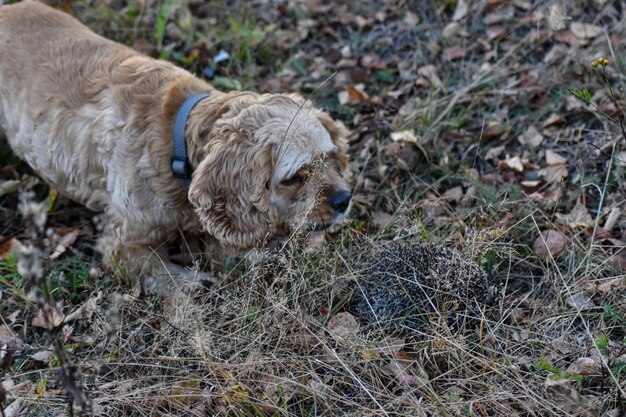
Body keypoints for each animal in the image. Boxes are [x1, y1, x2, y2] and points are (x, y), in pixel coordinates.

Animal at [0, 0, 352, 282]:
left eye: (328, 158)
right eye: (293, 178)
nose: (344, 200)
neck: (177, 142)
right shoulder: (121, 241)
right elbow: (162, 272)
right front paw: (192, 285)